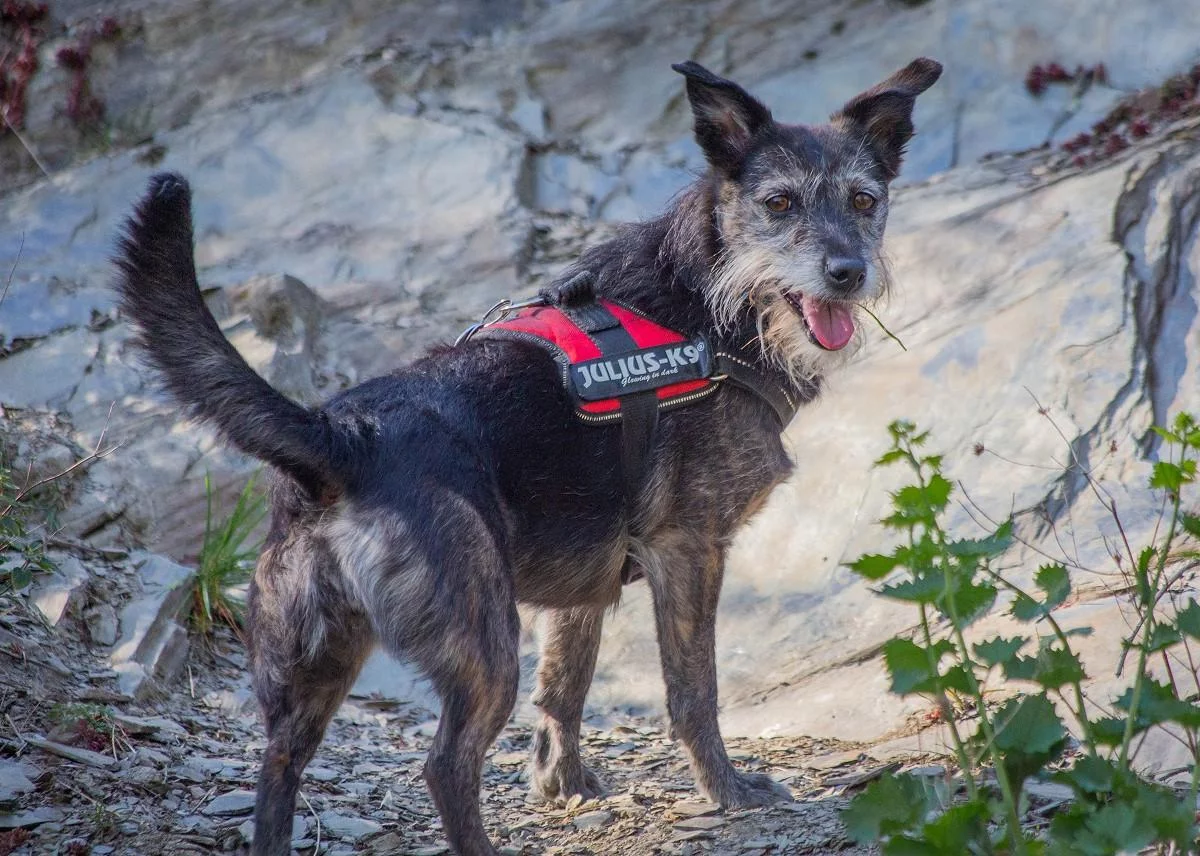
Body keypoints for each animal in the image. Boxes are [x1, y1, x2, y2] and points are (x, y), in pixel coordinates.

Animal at [110, 56, 936, 849]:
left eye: (864, 201)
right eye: (779, 205)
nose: (847, 273)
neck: (709, 299)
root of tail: (342, 437)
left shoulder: (586, 584)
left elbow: (566, 687)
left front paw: (562, 784)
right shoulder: (688, 549)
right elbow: (692, 690)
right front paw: (727, 790)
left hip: (311, 660)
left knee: (279, 766)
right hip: (482, 639)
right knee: (446, 767)